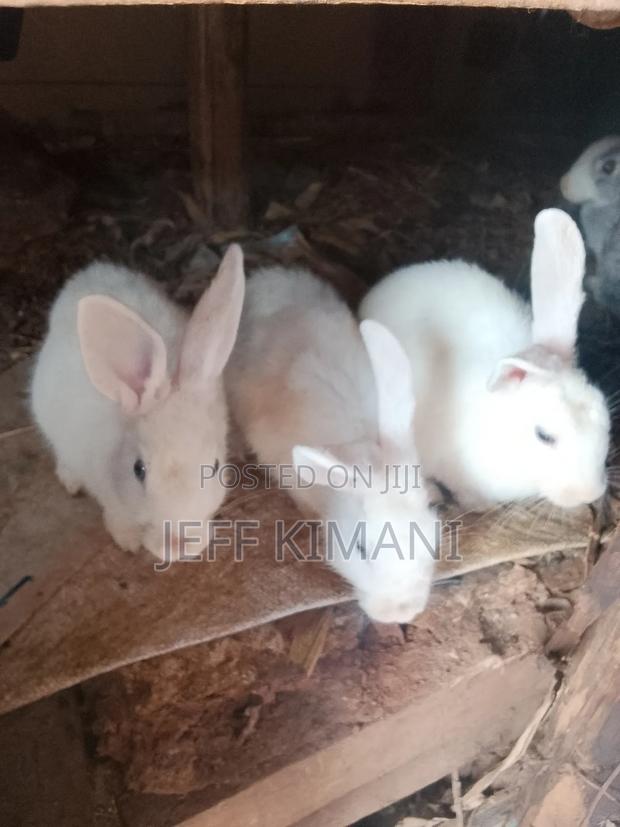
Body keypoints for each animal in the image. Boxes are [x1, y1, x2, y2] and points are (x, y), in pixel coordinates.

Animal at [30, 245, 245, 562]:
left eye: (216, 466)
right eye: (138, 470)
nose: (178, 547)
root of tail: (86, 274)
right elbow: (115, 514)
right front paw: (128, 541)